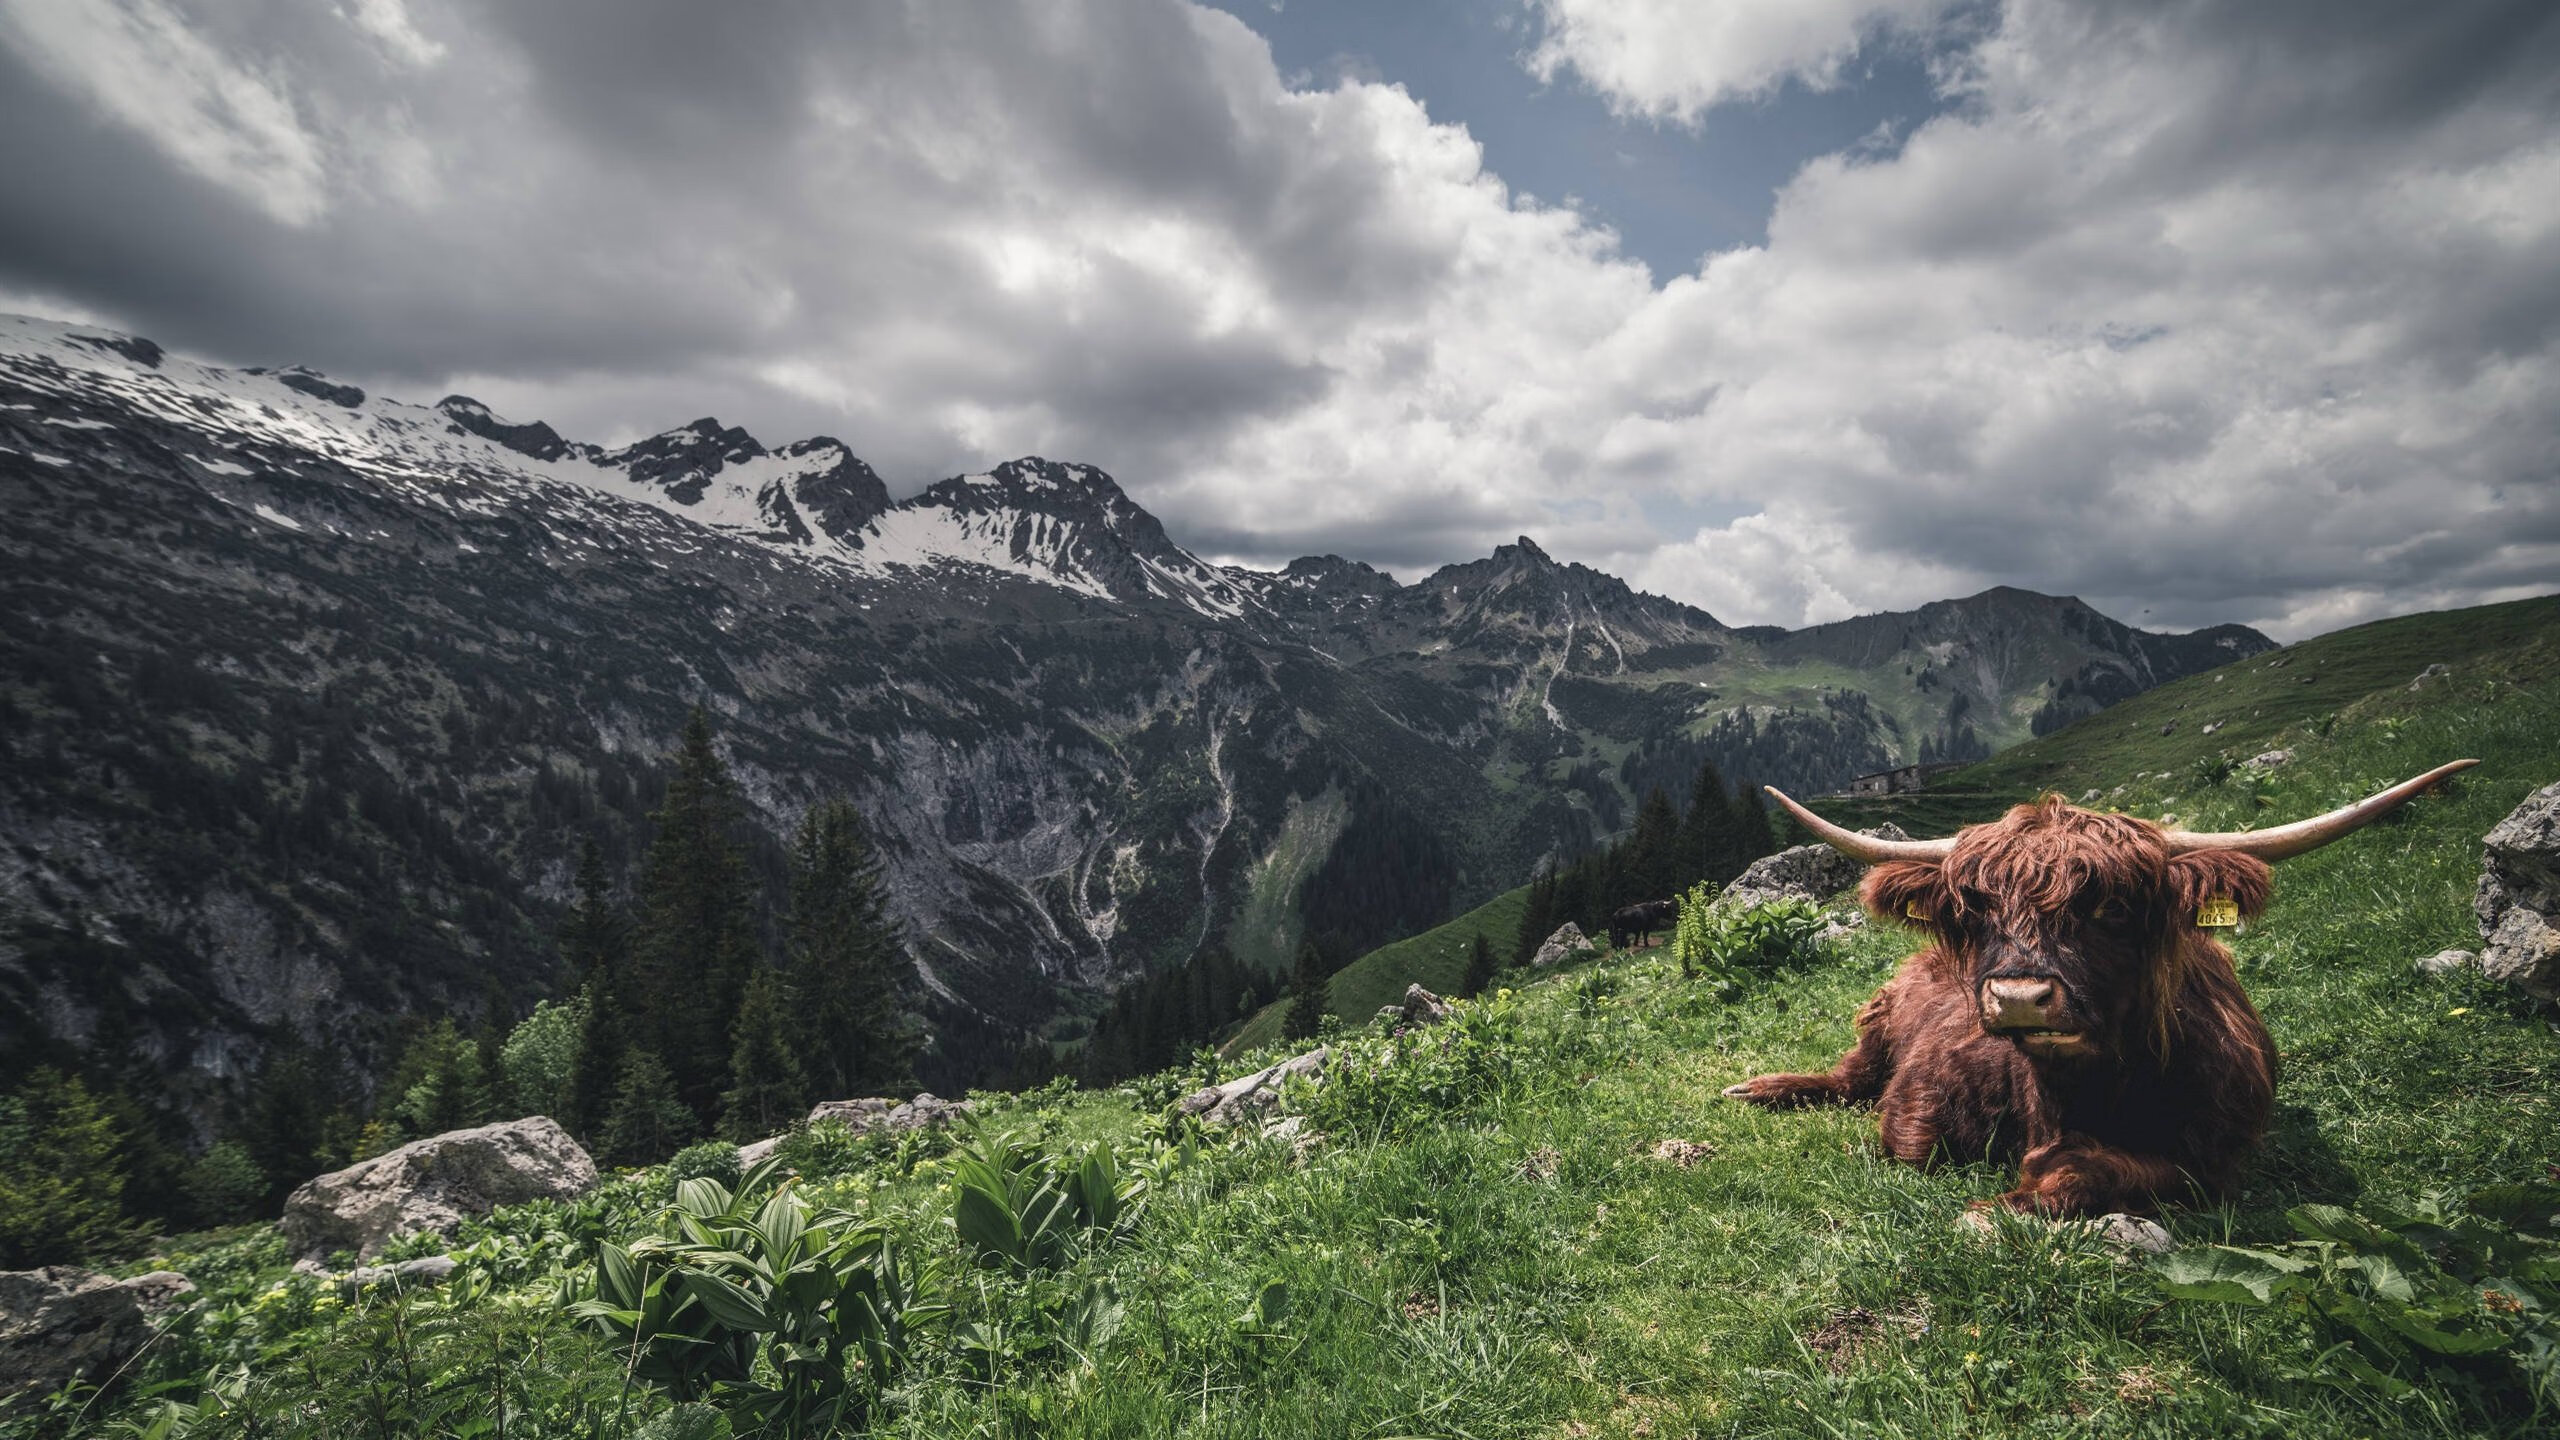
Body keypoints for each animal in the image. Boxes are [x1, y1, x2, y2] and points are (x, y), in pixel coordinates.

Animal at [1720, 758, 2478, 1214]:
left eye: (2111, 908)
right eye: (1975, 908)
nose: (2018, 998)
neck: (2075, 1093)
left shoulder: (2219, 1159)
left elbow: (2091, 1172)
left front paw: (2009, 1200)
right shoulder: (1921, 1090)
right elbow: (1908, 1139)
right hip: (1879, 1019)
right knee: (1849, 1075)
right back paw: (1758, 1087)